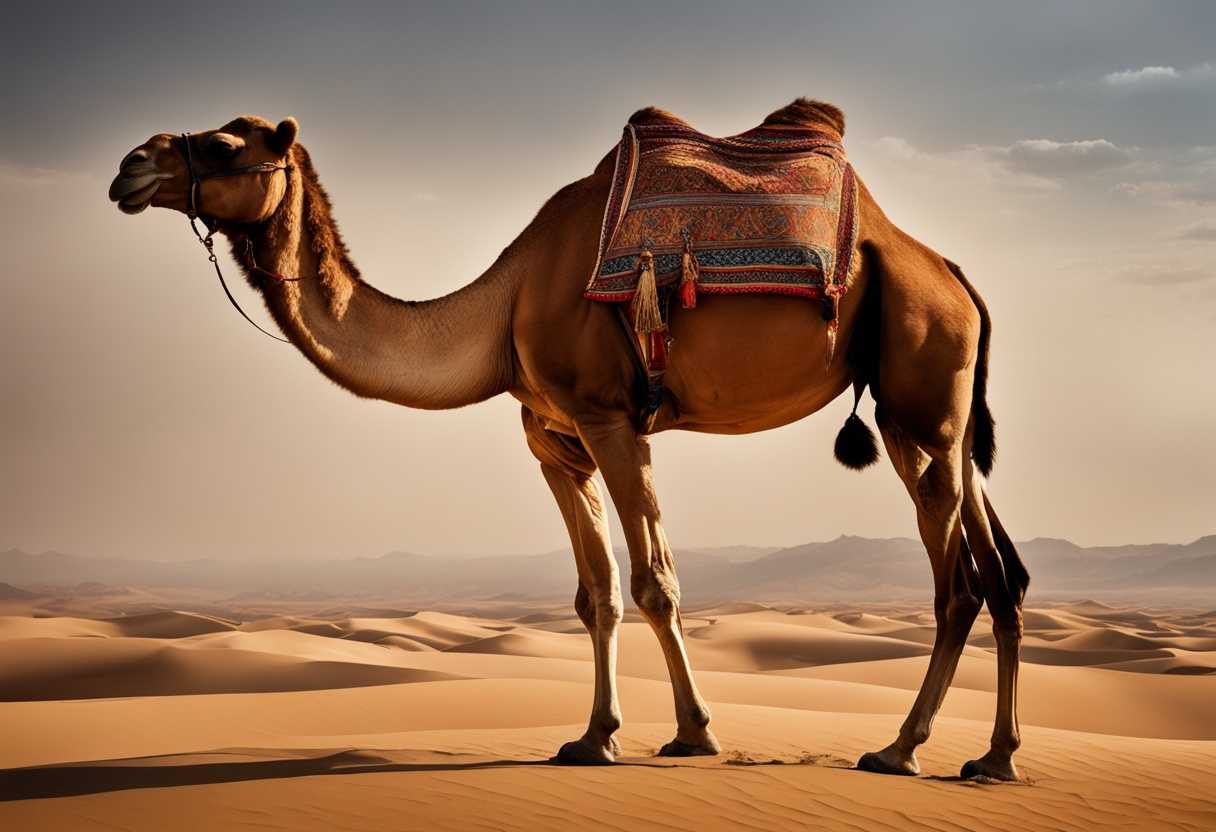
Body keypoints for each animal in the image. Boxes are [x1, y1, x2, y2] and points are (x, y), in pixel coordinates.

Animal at [108, 99, 1030, 781]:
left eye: (223, 145)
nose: (130, 166)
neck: (505, 304)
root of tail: (956, 278)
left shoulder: (608, 415)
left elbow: (655, 583)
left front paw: (693, 733)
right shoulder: (553, 439)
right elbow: (597, 594)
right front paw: (593, 738)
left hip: (920, 395)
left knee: (957, 585)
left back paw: (900, 749)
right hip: (937, 421)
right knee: (1002, 574)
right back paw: (994, 758)